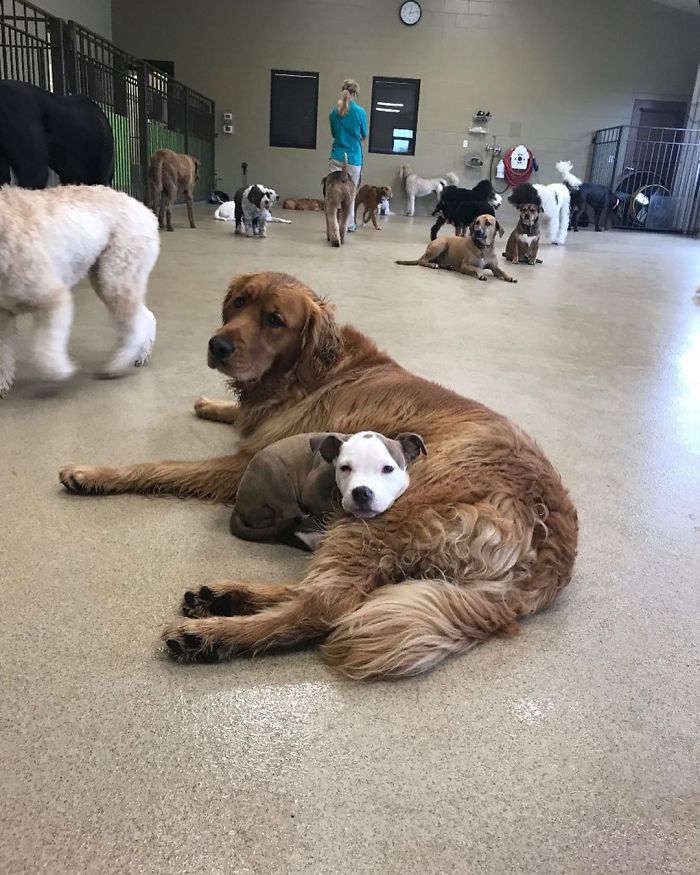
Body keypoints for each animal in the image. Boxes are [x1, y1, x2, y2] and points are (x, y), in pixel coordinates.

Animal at [0, 188, 159, 400]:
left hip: (115, 279)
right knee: (146, 317)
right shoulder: (3, 315)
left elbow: (45, 350)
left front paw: (60, 370)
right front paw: (2, 384)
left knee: (135, 327)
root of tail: (146, 210)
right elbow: (4, 353)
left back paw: (115, 365)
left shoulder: (55, 300)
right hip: (110, 279)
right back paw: (141, 355)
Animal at [58, 270, 576, 680]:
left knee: (324, 606)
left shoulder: (250, 459)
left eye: (275, 320)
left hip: (378, 516)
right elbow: (235, 415)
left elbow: (163, 465)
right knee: (323, 591)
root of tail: (552, 550)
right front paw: (211, 404)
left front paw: (94, 472)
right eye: (239, 303)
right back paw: (223, 596)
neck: (309, 370)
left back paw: (213, 635)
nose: (217, 344)